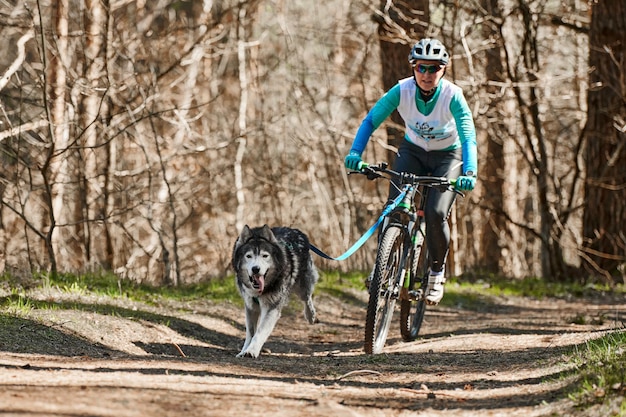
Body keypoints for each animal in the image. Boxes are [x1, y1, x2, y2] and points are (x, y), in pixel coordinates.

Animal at [229, 224, 316, 358]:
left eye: (265, 256)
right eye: (248, 256)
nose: (255, 269)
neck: (260, 292)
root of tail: (294, 230)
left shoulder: (272, 308)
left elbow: (260, 332)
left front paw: (251, 351)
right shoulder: (250, 307)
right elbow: (250, 332)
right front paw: (243, 351)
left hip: (303, 286)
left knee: (307, 298)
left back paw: (310, 315)